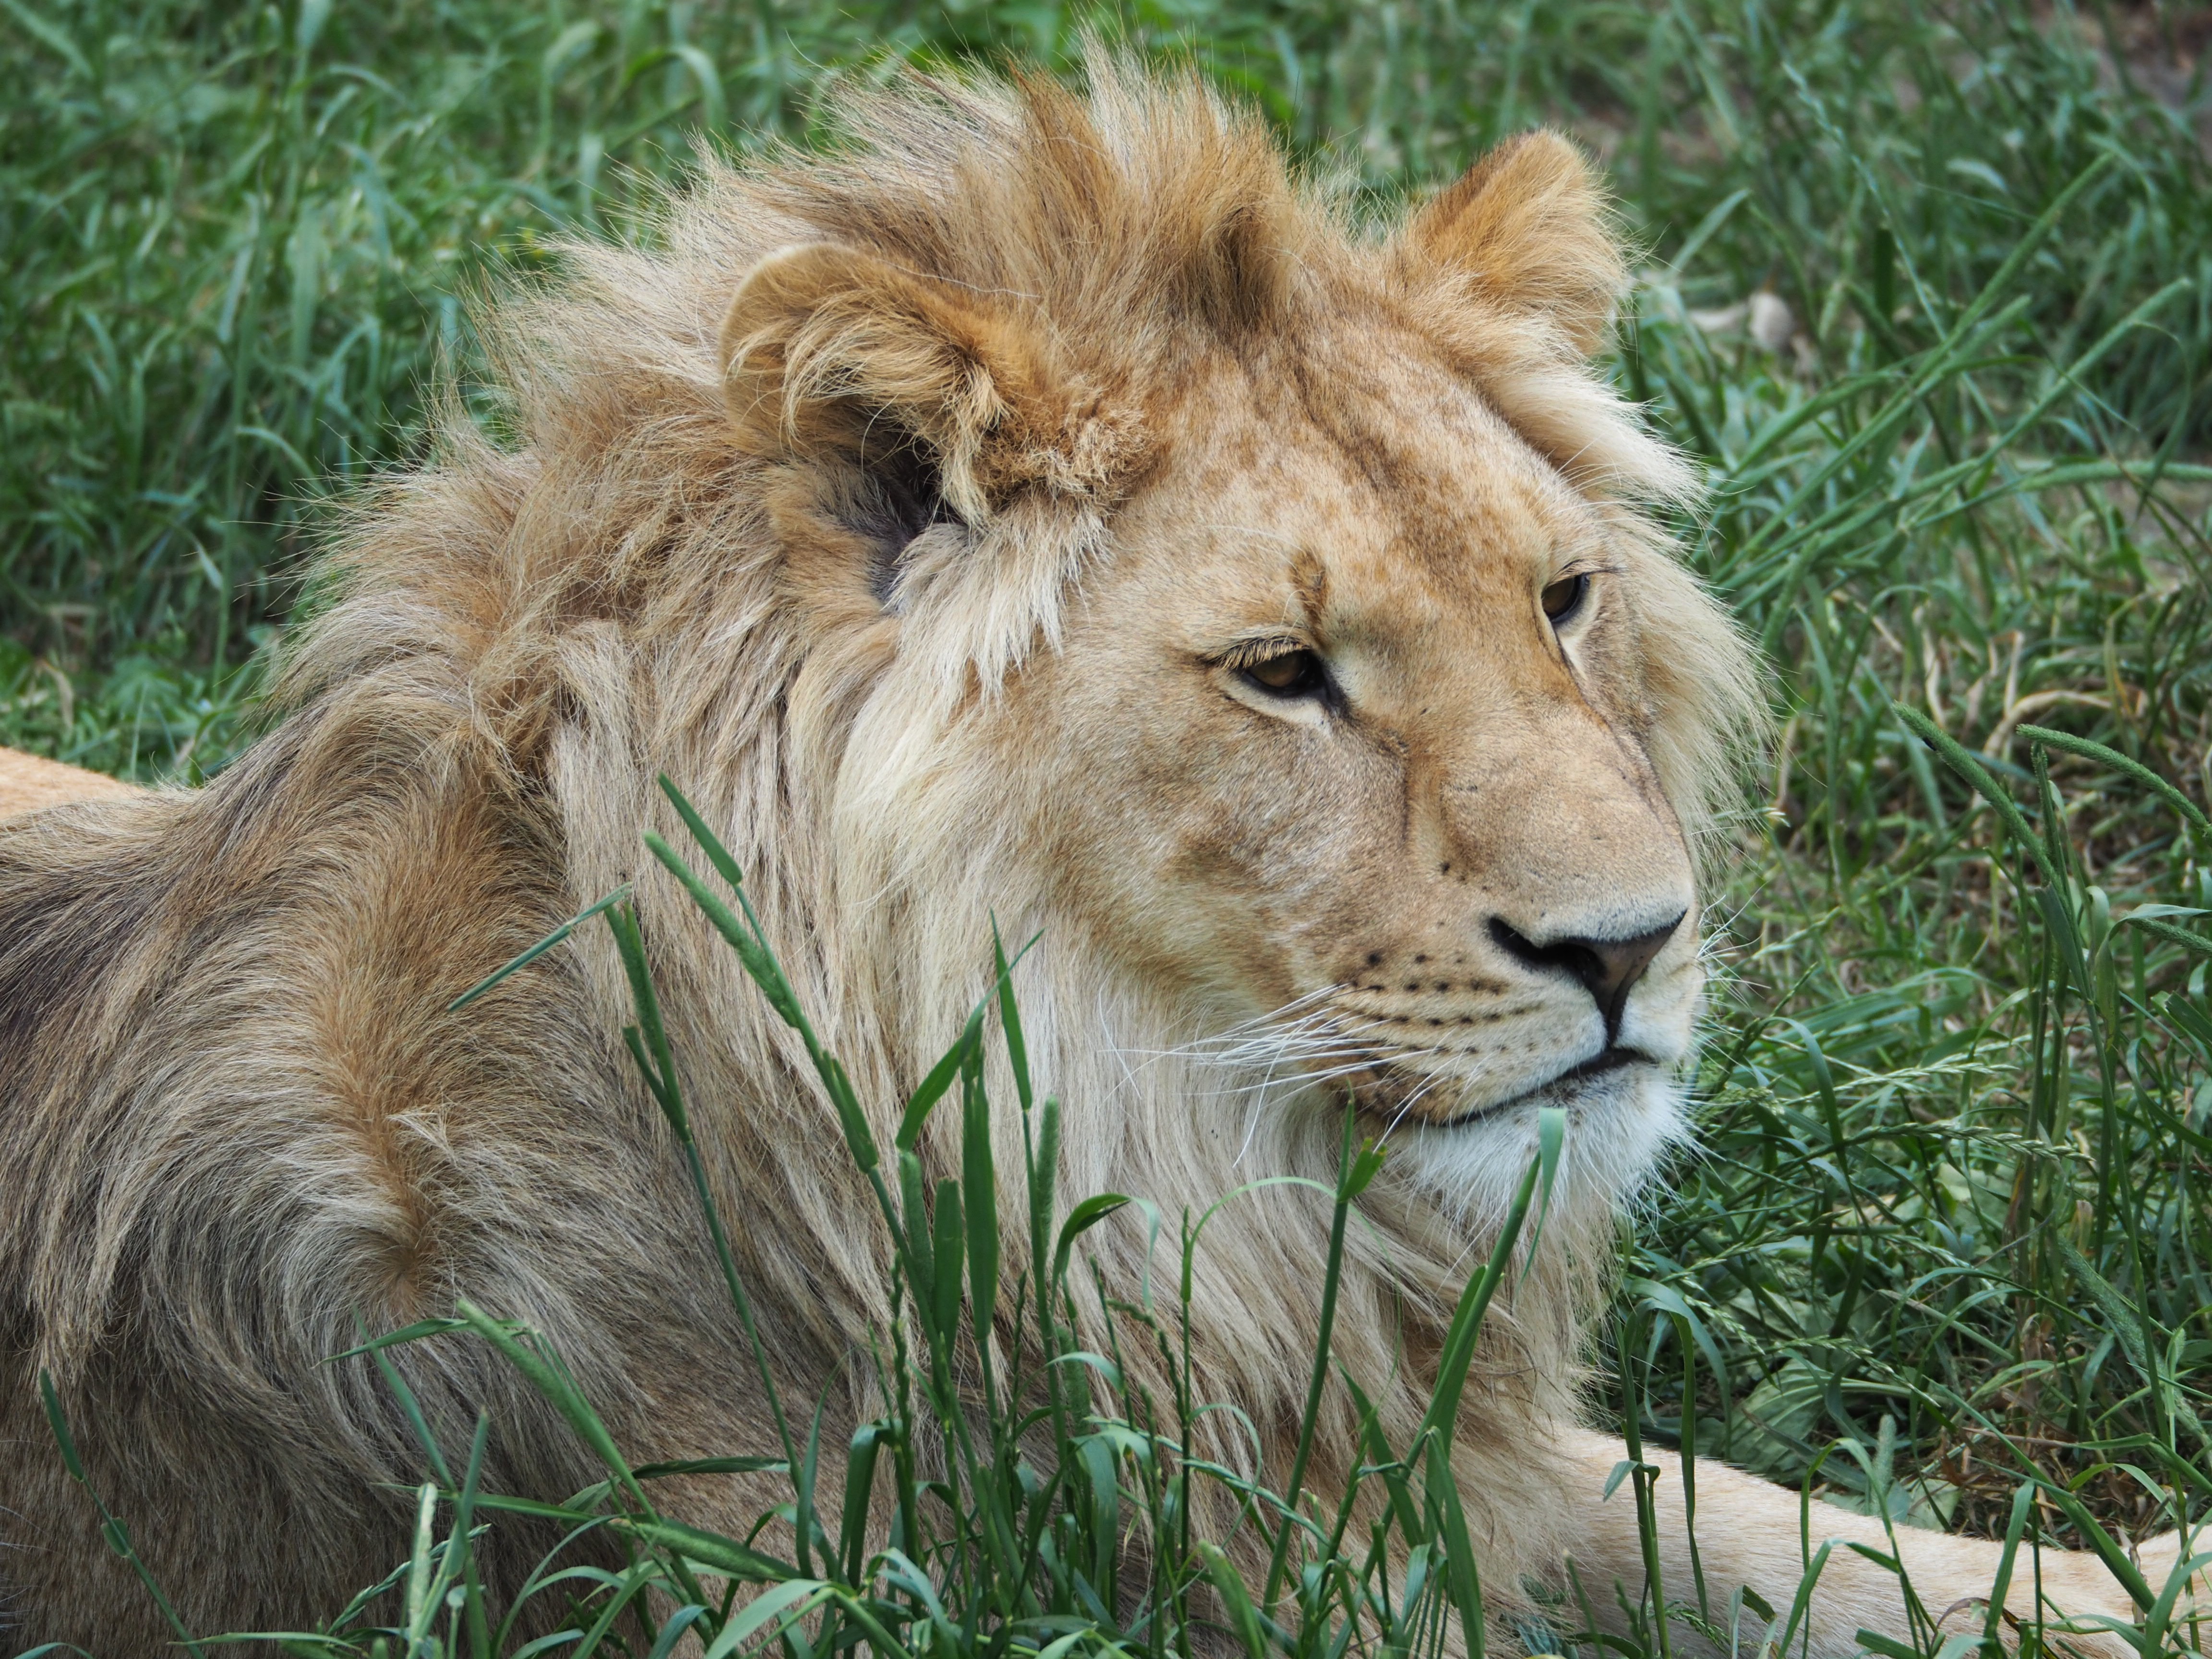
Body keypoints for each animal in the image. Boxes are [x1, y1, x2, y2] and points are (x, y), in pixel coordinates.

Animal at [0, 60, 2192, 1659]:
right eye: (1285, 673)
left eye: (1560, 600)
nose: (1633, 949)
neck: (1158, 1154)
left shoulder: (1388, 1443)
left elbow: (1734, 1517)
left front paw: (2129, 1585)